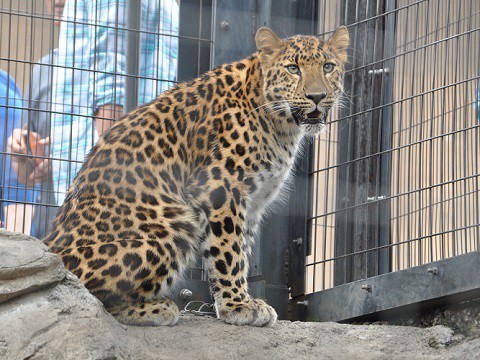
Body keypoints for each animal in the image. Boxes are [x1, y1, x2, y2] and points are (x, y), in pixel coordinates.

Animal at [44, 26, 348, 326]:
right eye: (293, 68)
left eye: (328, 67)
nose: (317, 96)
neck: (281, 126)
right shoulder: (221, 186)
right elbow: (228, 251)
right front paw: (237, 305)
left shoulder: (252, 203)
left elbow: (243, 250)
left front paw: (242, 300)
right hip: (173, 224)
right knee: (87, 298)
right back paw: (157, 309)